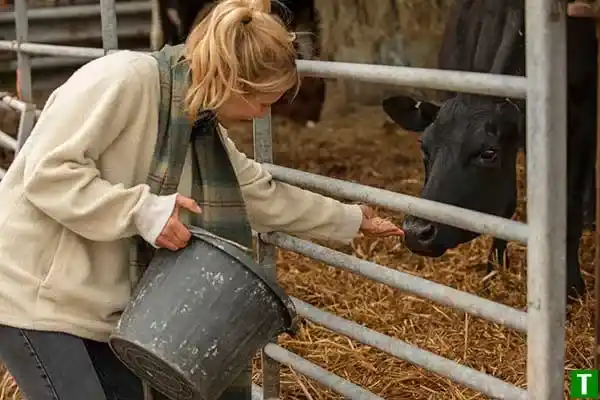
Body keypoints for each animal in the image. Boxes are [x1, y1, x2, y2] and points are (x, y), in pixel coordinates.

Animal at [380, 0, 596, 300]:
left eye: (488, 152)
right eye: (424, 149)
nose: (416, 231)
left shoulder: (581, 124)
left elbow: (570, 208)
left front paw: (573, 285)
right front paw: (496, 264)